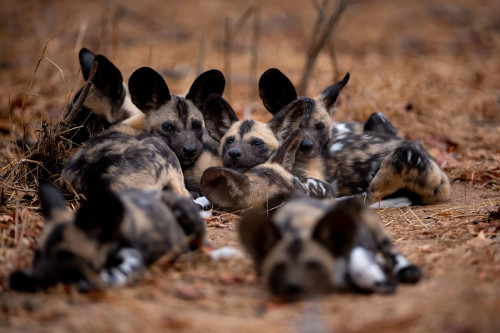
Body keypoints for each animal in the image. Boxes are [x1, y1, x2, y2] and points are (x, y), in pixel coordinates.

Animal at [8, 183, 203, 292]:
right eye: (37, 255)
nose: (36, 278)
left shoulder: (131, 261)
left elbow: (110, 275)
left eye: (66, 256)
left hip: (184, 212)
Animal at [258, 68, 450, 205]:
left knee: (370, 196)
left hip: (402, 155)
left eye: (320, 127)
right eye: (295, 127)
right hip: (376, 117)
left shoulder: (315, 184)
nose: (305, 146)